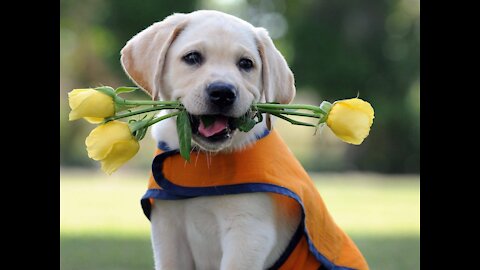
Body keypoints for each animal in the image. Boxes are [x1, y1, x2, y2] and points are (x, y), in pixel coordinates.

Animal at [120, 9, 368, 268]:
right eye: (192, 57)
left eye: (246, 64)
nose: (222, 92)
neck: (205, 158)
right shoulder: (167, 230)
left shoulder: (249, 232)